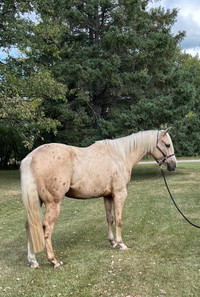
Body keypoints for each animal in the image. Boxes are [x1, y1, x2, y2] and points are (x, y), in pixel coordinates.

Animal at [20, 128, 177, 268]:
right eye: (167, 145)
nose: (173, 165)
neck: (120, 155)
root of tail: (31, 157)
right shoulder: (120, 194)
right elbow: (119, 219)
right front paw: (121, 244)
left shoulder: (108, 196)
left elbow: (110, 218)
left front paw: (112, 243)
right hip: (53, 203)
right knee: (46, 227)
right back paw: (53, 261)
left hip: (36, 203)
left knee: (29, 226)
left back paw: (33, 261)